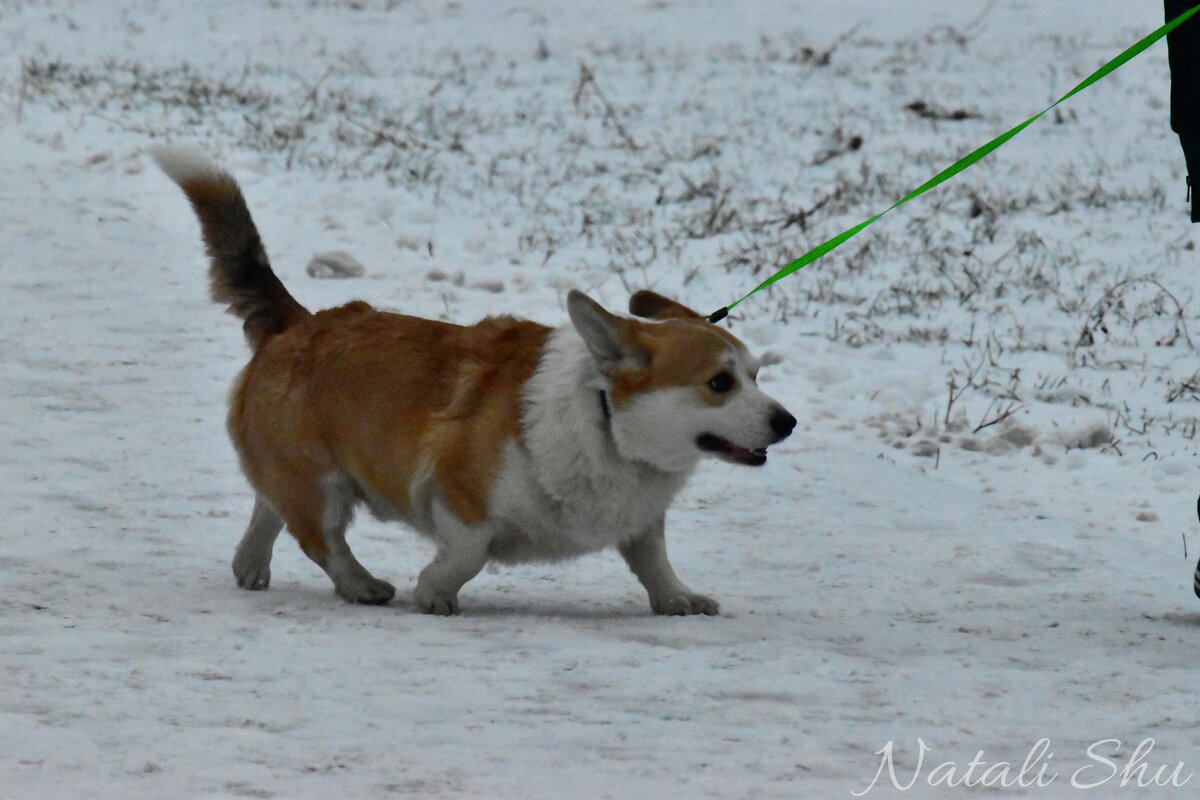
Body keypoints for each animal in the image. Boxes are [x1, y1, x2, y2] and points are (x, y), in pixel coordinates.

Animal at [157, 146, 796, 618]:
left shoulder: (642, 524)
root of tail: (299, 322)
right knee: (322, 539)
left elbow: (654, 562)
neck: (605, 422)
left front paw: (677, 598)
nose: (788, 422)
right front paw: (434, 590)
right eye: (720, 383)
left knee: (271, 506)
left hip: (301, 475)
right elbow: (469, 551)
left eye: (756, 374)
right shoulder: (454, 488)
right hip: (322, 481)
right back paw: (361, 584)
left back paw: (251, 565)